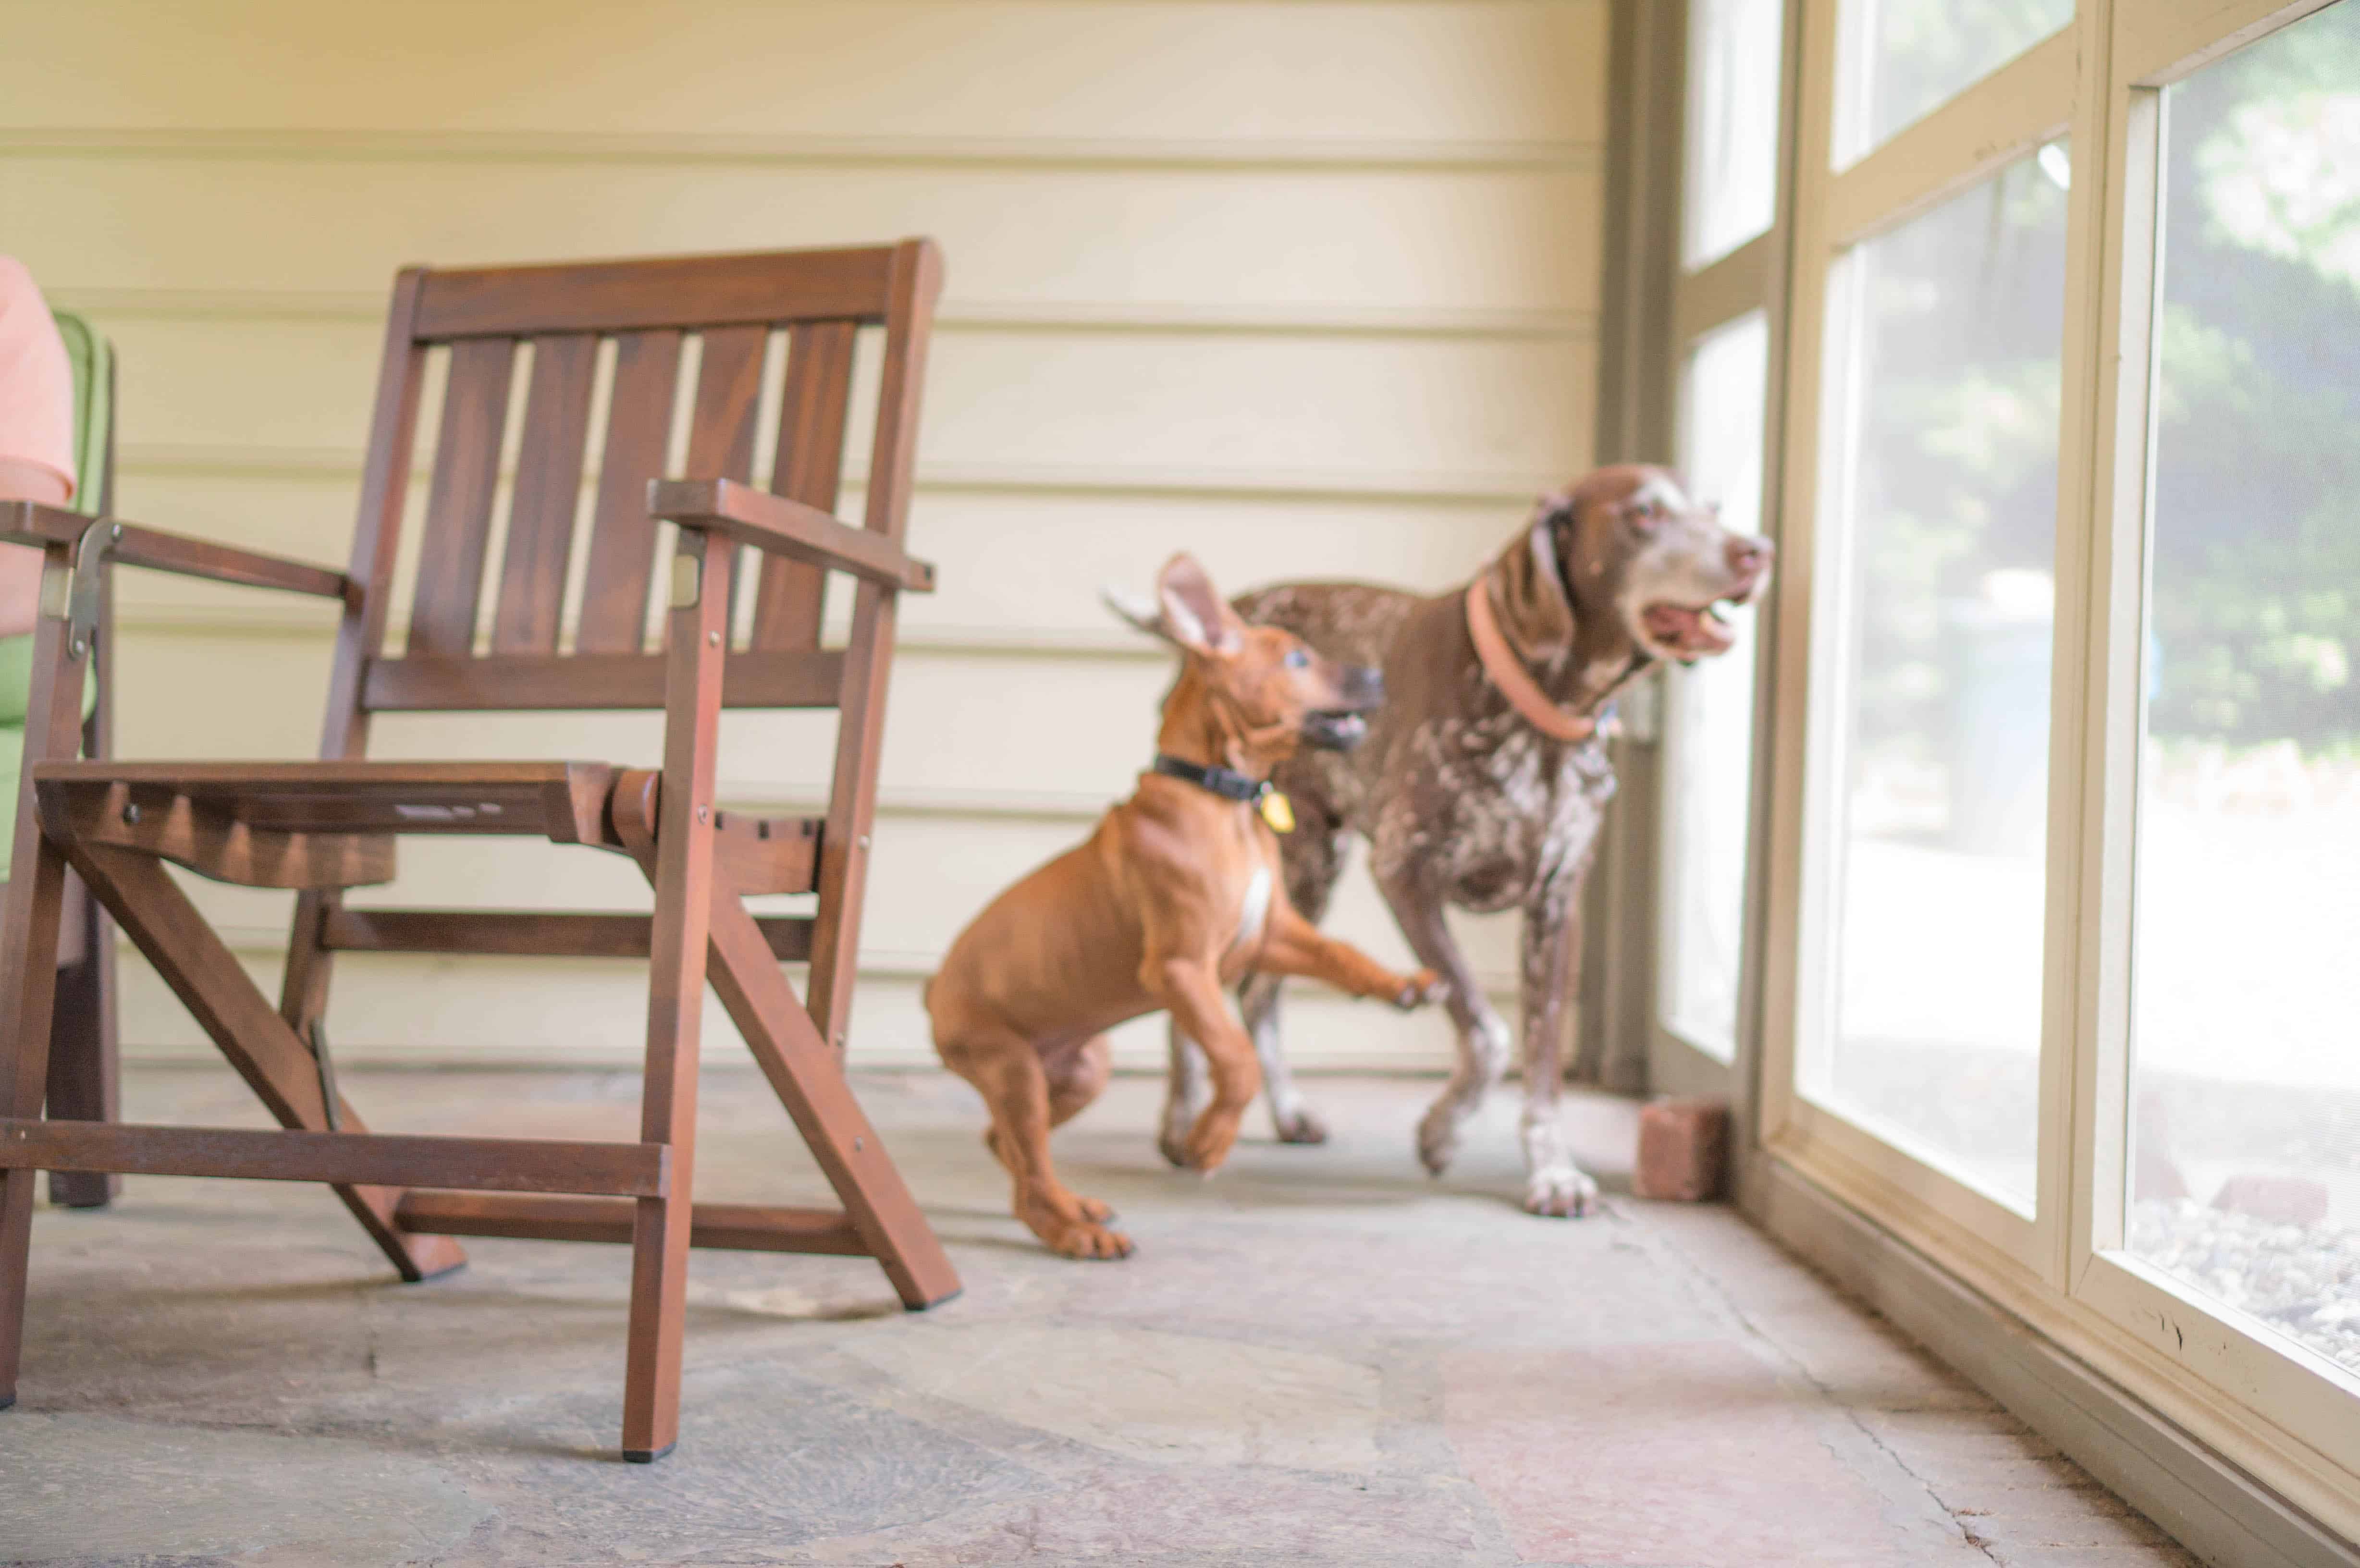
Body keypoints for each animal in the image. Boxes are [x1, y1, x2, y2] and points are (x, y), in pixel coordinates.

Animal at [930, 557, 1444, 1256]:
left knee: (1009, 1149)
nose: (1377, 677)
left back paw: (1074, 1208)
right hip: (1010, 1068)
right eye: (1298, 659)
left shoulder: (1271, 932)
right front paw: (1206, 1143)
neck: (1224, 799)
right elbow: (1238, 1059)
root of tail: (932, 991)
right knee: (1028, 1168)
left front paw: (1404, 985)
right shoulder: (1181, 967)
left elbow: (1340, 953)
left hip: (1079, 1070)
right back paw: (1072, 1232)